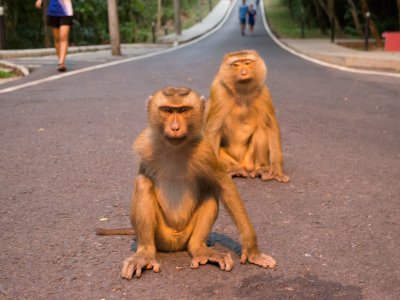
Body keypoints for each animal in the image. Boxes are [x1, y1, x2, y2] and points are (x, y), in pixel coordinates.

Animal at [98, 86, 276, 278]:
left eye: (183, 110)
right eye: (167, 110)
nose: (175, 127)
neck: (175, 148)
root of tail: (175, 242)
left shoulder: (206, 151)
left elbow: (224, 186)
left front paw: (252, 251)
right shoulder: (145, 145)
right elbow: (143, 176)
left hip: (186, 234)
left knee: (210, 191)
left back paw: (199, 248)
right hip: (161, 235)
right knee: (143, 183)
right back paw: (144, 253)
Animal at [205, 49, 290, 183]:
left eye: (247, 63)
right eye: (236, 65)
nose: (244, 72)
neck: (242, 93)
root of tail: (242, 164)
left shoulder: (264, 93)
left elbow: (271, 127)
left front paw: (276, 170)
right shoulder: (219, 92)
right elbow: (213, 131)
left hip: (249, 160)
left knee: (261, 131)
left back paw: (261, 168)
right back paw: (234, 169)